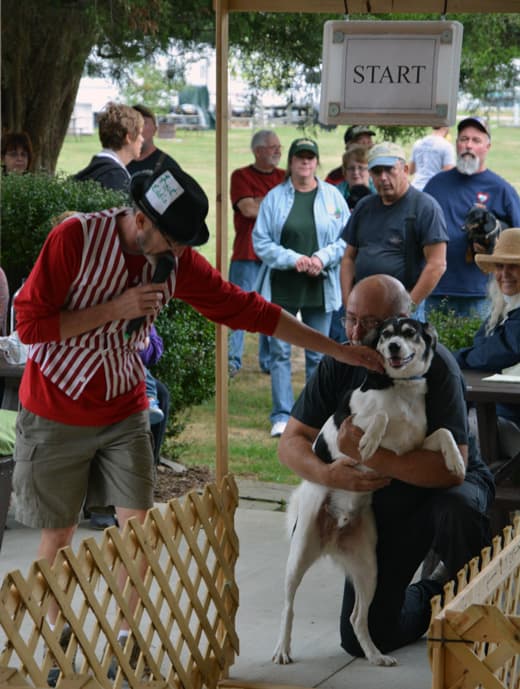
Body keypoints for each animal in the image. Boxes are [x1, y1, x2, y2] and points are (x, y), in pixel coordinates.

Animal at [274, 318, 466, 668]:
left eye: (409, 332)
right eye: (386, 334)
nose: (393, 347)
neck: (400, 389)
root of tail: (332, 536)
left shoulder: (414, 448)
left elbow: (445, 431)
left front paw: (456, 460)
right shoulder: (347, 423)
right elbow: (379, 415)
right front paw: (369, 441)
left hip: (368, 569)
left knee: (356, 618)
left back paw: (375, 655)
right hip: (299, 554)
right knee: (288, 606)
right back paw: (283, 649)